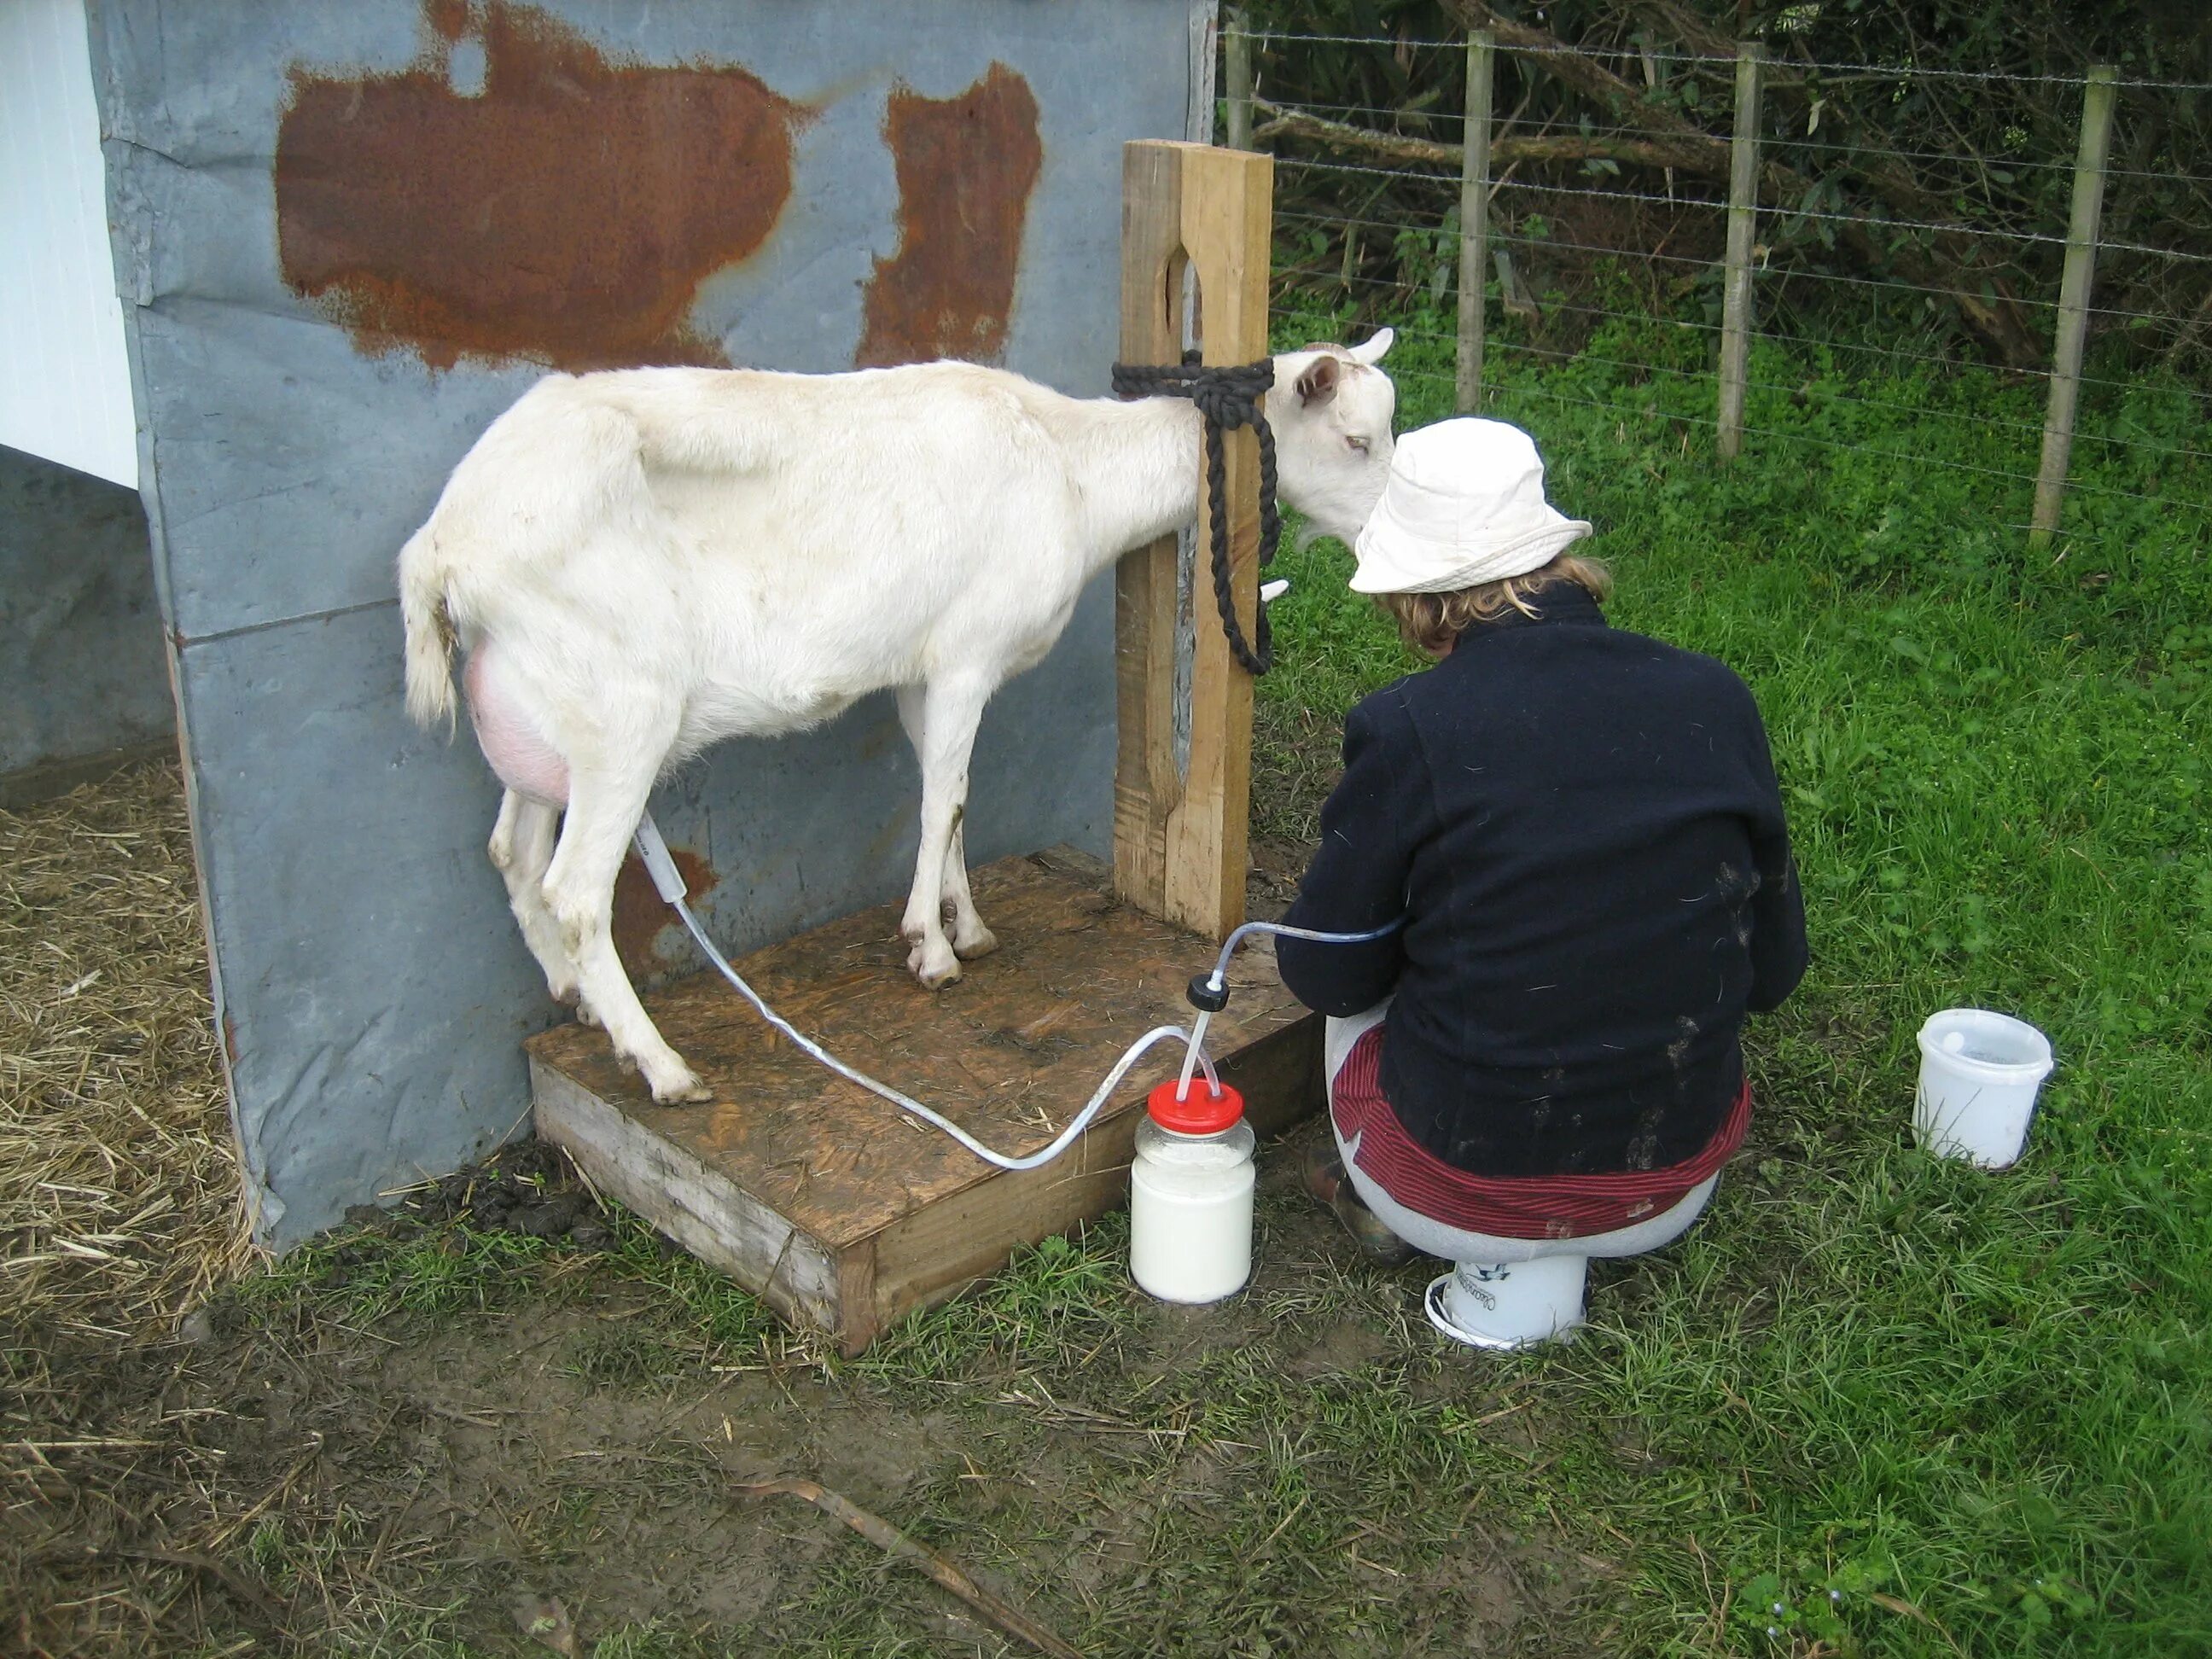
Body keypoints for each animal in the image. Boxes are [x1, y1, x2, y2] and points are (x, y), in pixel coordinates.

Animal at [398, 335, 1388, 1106]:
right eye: (1355, 438)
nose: (1383, 540)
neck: (1070, 465)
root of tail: (442, 547)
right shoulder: (965, 656)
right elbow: (943, 800)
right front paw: (931, 950)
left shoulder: (923, 673)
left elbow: (948, 794)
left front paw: (966, 926)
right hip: (619, 714)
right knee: (573, 890)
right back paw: (662, 1065)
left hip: (539, 712)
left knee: (514, 853)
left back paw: (577, 999)